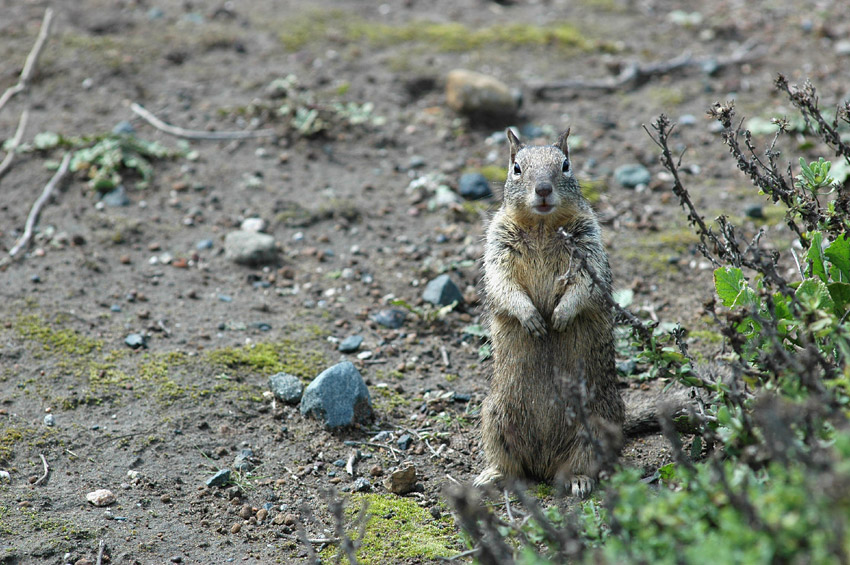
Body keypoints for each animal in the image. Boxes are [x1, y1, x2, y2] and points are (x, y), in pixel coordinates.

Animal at [470, 129, 624, 498]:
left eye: (566, 165)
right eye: (516, 168)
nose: (542, 189)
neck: (541, 226)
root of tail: (544, 464)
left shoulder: (589, 250)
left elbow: (583, 287)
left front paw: (561, 316)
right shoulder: (497, 249)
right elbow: (504, 286)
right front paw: (531, 318)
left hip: (595, 426)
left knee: (582, 462)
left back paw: (579, 480)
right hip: (494, 419)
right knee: (513, 465)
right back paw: (493, 476)